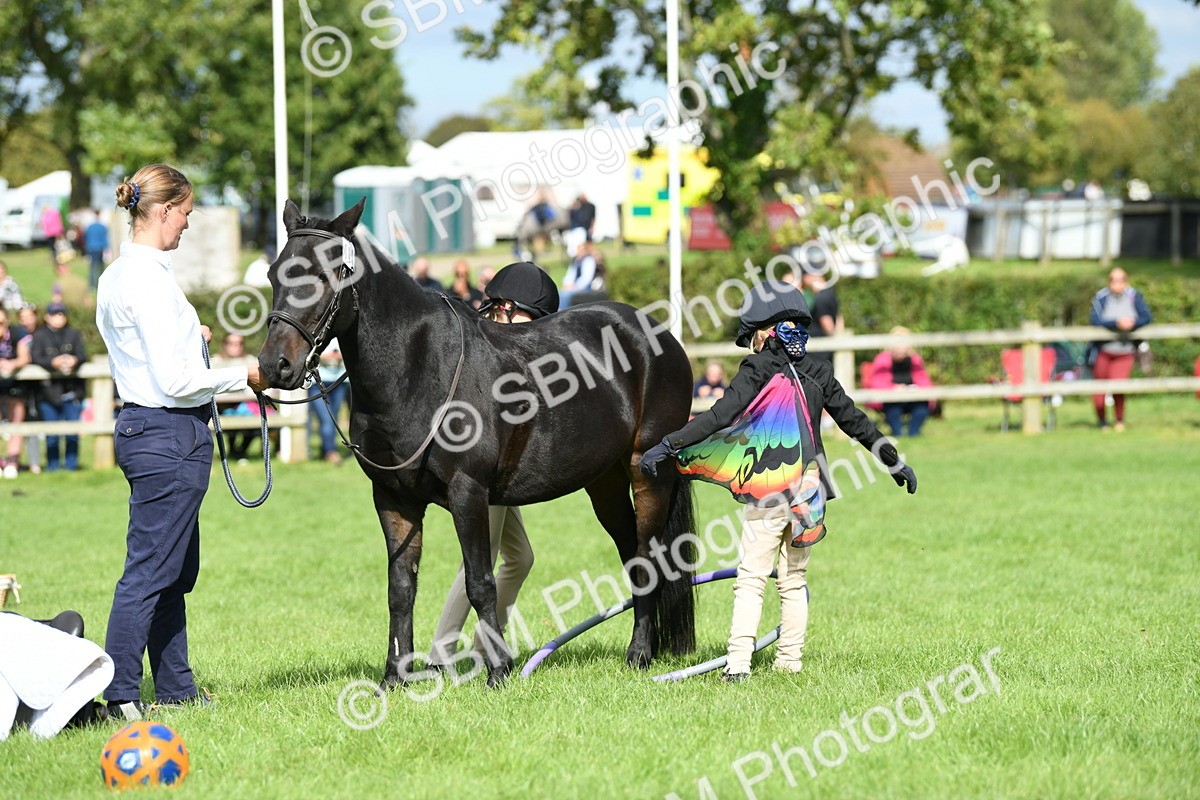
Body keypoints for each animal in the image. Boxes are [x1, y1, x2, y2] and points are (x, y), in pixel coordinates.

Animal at [258, 199, 697, 689]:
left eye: (325, 274)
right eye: (275, 273)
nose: (275, 366)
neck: (416, 367)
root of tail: (654, 332)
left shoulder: (468, 493)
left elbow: (479, 582)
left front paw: (499, 672)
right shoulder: (392, 498)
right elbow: (401, 588)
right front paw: (395, 678)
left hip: (646, 473)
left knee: (649, 557)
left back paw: (638, 654)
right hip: (604, 482)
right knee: (632, 555)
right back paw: (646, 649)